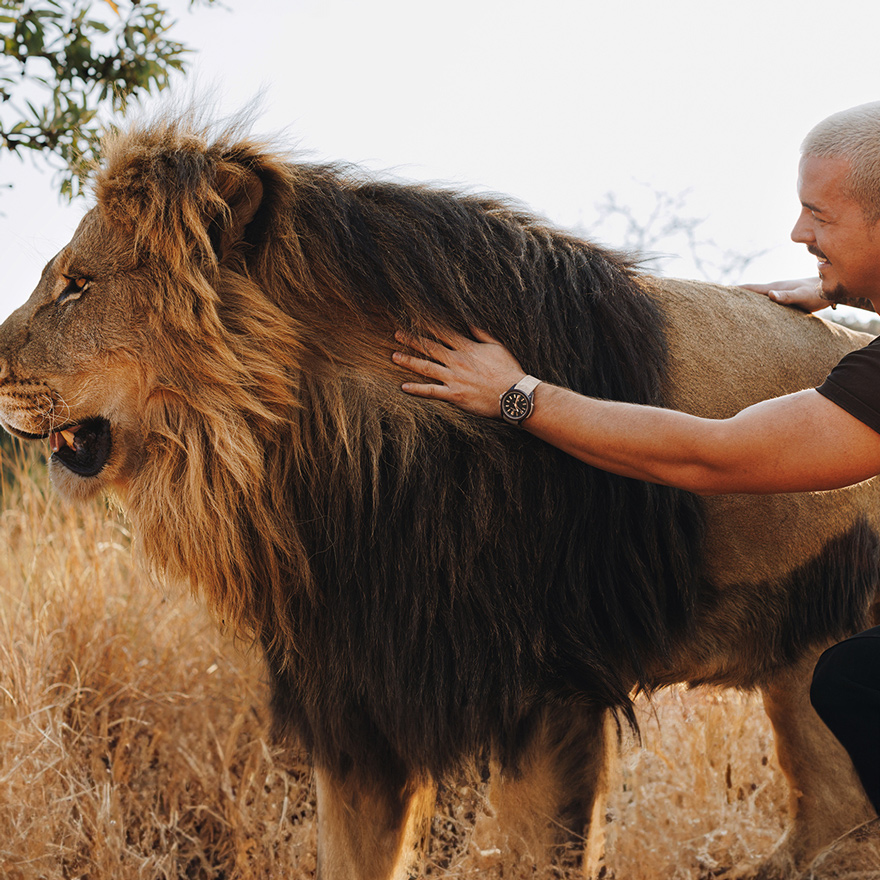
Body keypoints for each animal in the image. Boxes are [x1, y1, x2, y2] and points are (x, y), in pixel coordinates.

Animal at [0, 118, 876, 880]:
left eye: (77, 286)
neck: (324, 457)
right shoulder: (357, 693)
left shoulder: (548, 690)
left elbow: (533, 859)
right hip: (800, 664)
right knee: (833, 820)